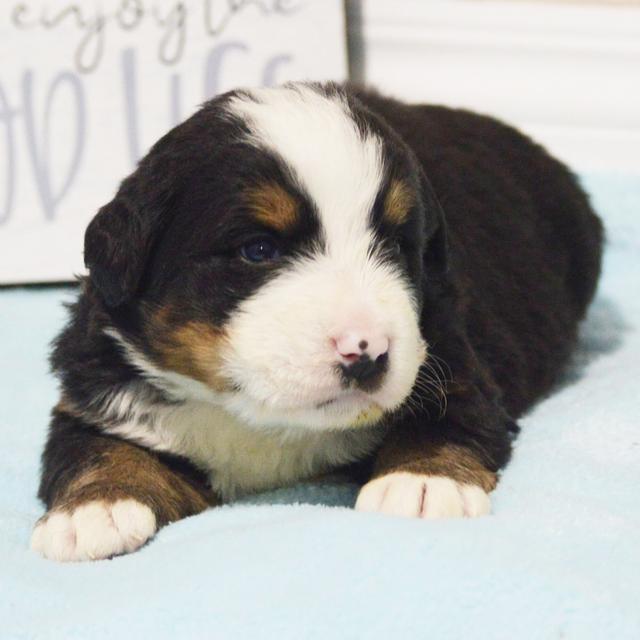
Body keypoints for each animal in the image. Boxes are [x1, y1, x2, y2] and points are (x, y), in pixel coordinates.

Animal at [28, 84, 600, 560]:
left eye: (397, 245)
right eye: (258, 249)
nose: (366, 352)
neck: (264, 424)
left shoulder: (450, 346)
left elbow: (451, 410)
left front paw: (422, 482)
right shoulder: (95, 385)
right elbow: (94, 446)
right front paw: (94, 509)